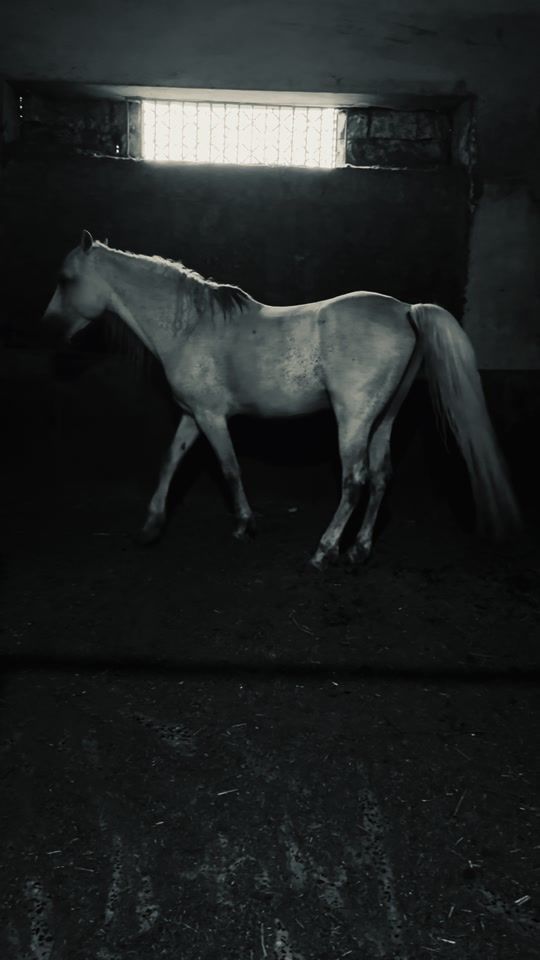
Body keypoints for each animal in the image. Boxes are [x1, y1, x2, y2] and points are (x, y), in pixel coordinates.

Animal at [42, 230, 520, 568]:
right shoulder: (192, 415)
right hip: (383, 420)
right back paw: (359, 549)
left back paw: (324, 551)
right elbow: (169, 462)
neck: (190, 327)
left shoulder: (212, 417)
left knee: (355, 481)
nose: (50, 329)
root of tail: (405, 310)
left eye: (66, 281)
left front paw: (243, 526)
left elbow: (229, 469)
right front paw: (151, 527)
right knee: (382, 478)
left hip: (353, 419)